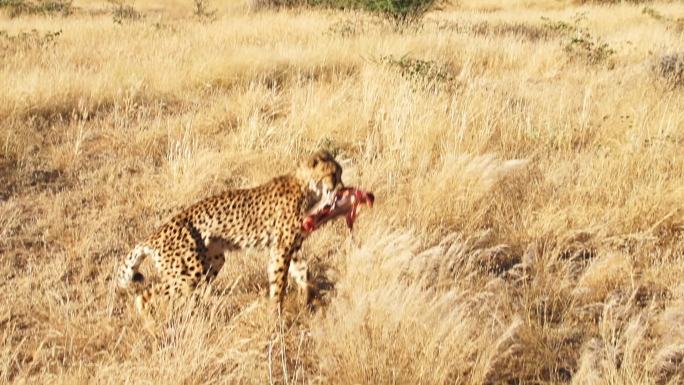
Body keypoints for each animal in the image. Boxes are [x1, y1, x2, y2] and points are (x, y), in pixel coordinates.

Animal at [116, 148, 348, 314]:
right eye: (333, 174)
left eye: (340, 173)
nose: (343, 188)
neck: (306, 187)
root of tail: (154, 235)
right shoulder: (282, 248)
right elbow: (279, 282)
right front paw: (277, 315)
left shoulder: (291, 247)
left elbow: (302, 272)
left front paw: (307, 300)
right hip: (189, 273)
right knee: (144, 296)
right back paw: (152, 328)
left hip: (212, 261)